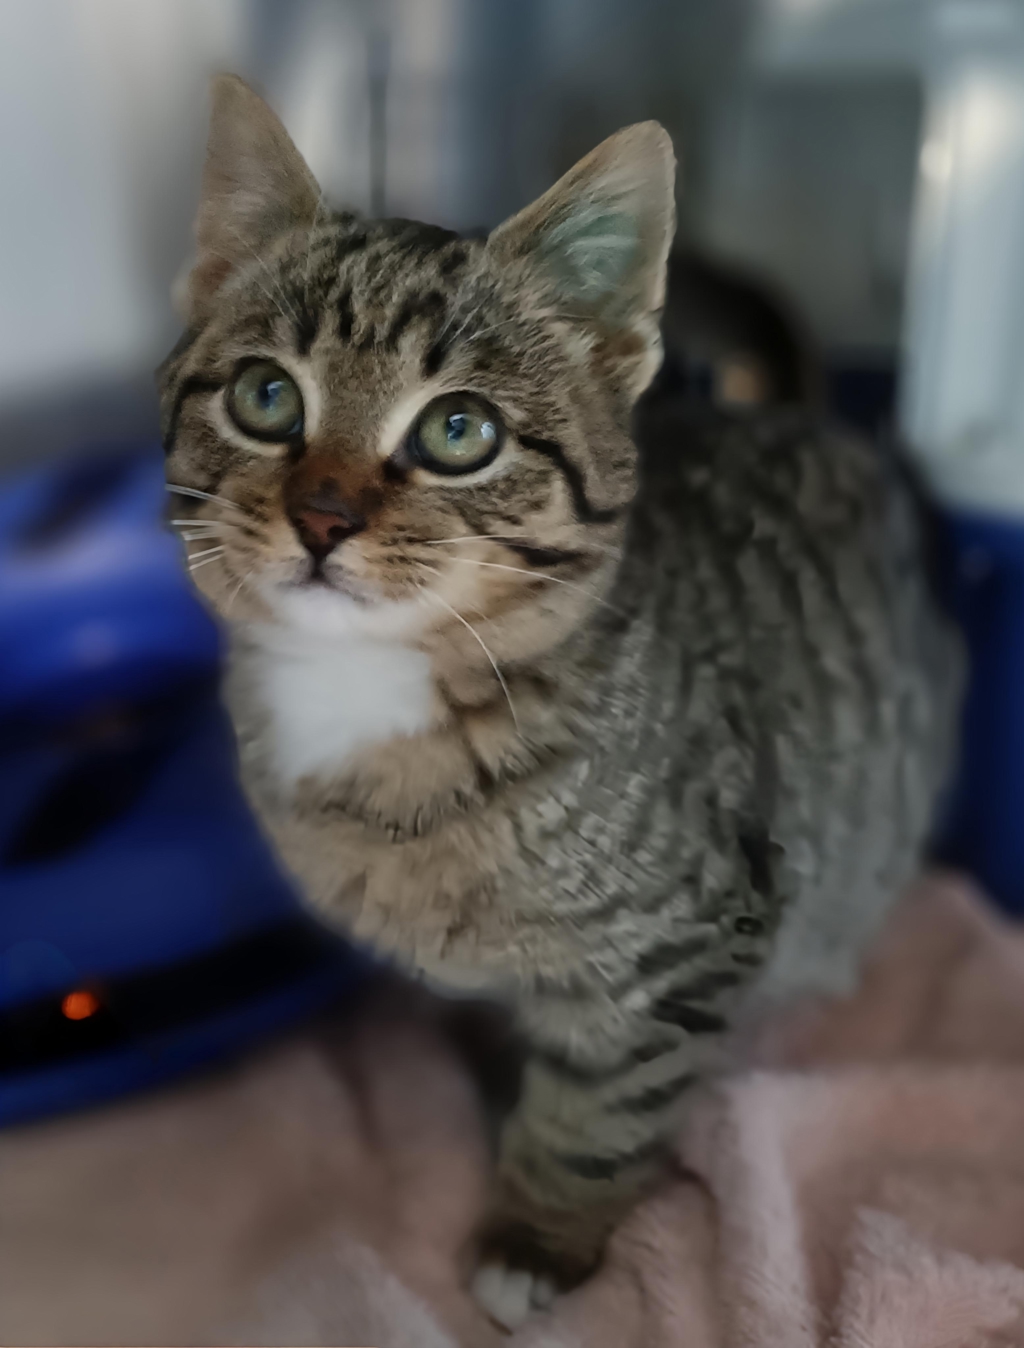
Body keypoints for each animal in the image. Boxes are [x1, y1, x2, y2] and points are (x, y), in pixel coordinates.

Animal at [159, 73, 960, 1325]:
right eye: (264, 396)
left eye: (459, 430)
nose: (323, 514)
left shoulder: (686, 941)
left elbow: (601, 1110)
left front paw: (535, 1235)